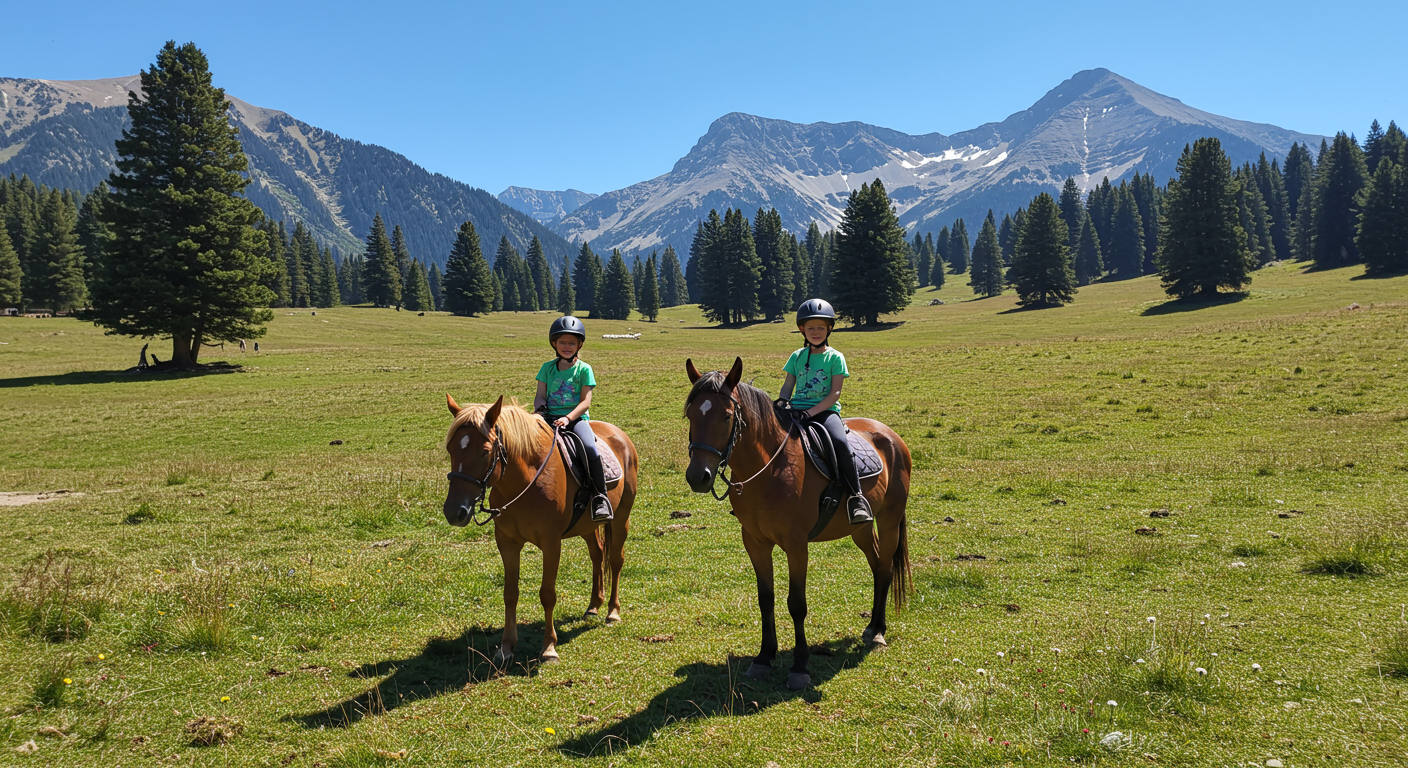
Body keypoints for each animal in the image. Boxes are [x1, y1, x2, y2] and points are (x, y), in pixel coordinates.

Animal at [442, 394, 637, 665]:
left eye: (484, 452)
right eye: (450, 449)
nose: (454, 512)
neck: (525, 480)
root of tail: (621, 435)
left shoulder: (551, 543)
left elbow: (547, 594)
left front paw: (549, 648)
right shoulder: (507, 542)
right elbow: (510, 593)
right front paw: (506, 647)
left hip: (621, 518)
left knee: (616, 560)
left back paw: (612, 611)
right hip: (588, 526)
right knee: (597, 555)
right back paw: (593, 606)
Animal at [683, 357, 911, 690]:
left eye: (726, 417)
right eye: (690, 415)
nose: (698, 476)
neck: (770, 469)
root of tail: (890, 435)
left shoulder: (796, 544)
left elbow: (796, 603)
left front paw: (800, 666)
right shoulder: (755, 542)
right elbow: (766, 599)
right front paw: (764, 658)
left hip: (890, 519)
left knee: (884, 568)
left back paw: (878, 631)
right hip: (861, 528)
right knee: (877, 564)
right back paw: (871, 626)